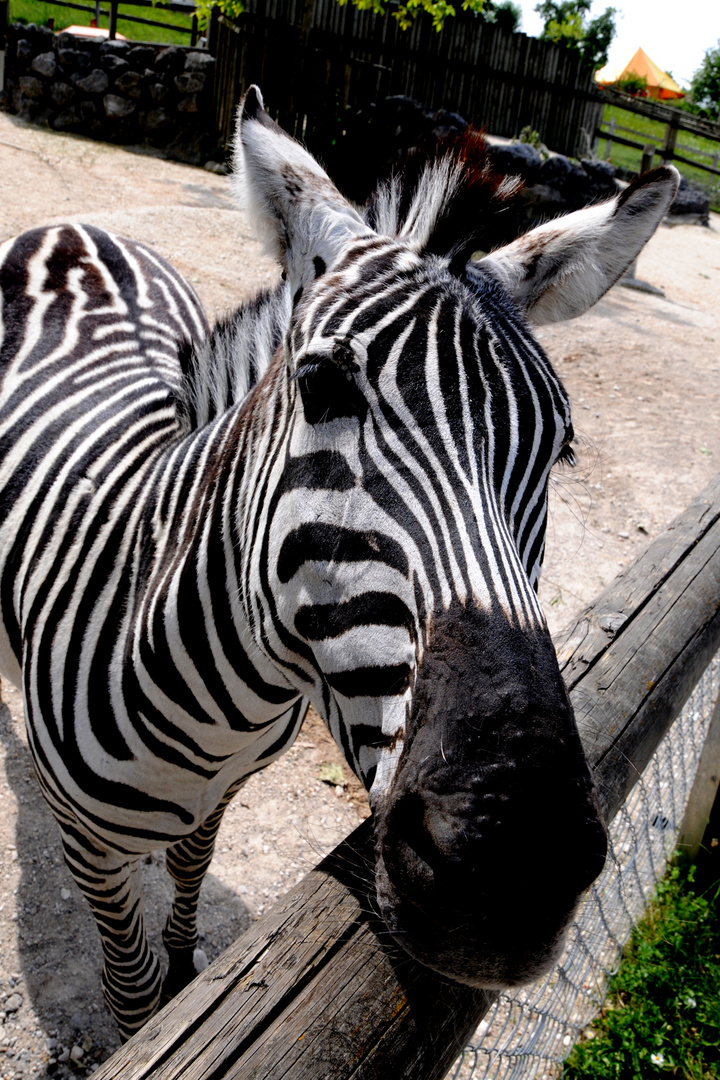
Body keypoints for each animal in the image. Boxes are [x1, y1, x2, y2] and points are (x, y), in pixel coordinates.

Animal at [0, 86, 677, 1036]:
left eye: (562, 448)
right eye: (320, 386)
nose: (518, 862)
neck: (222, 709)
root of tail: (75, 229)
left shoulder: (221, 799)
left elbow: (188, 886)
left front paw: (185, 968)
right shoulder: (88, 848)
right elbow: (132, 998)